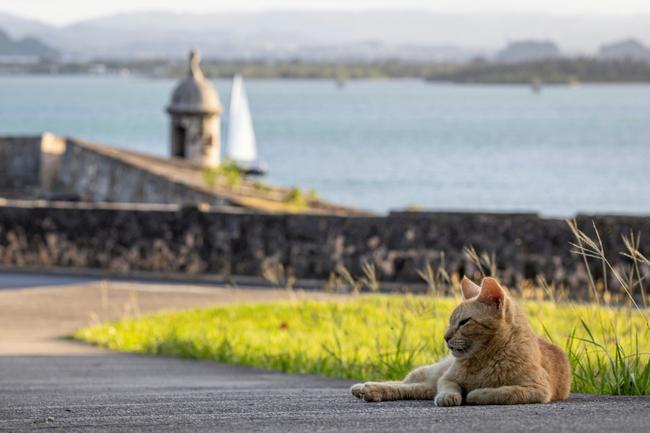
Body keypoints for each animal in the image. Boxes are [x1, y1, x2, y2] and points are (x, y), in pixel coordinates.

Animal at [350, 276, 568, 404]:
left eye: (464, 322)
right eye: (450, 322)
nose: (445, 337)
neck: (484, 359)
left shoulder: (537, 389)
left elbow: (501, 392)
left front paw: (476, 394)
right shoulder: (447, 379)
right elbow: (449, 387)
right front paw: (449, 397)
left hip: (427, 385)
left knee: (410, 388)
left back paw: (369, 391)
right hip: (431, 373)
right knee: (404, 383)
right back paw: (362, 388)